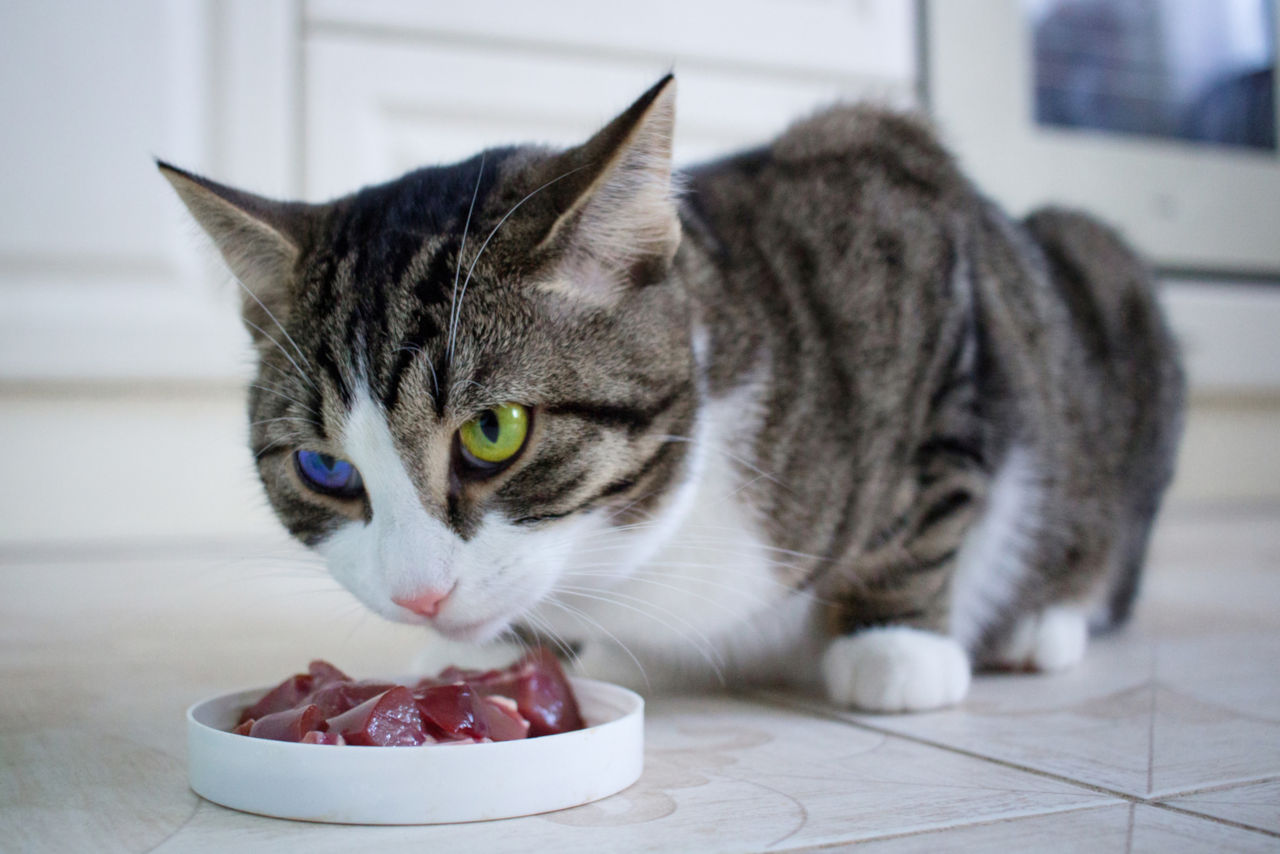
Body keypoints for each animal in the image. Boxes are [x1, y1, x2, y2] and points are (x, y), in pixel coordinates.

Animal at [157, 75, 1177, 717]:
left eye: (493, 431)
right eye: (323, 467)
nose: (420, 597)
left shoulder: (915, 231)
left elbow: (929, 496)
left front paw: (895, 643)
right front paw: (492, 660)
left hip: (1102, 280)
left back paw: (1041, 619)